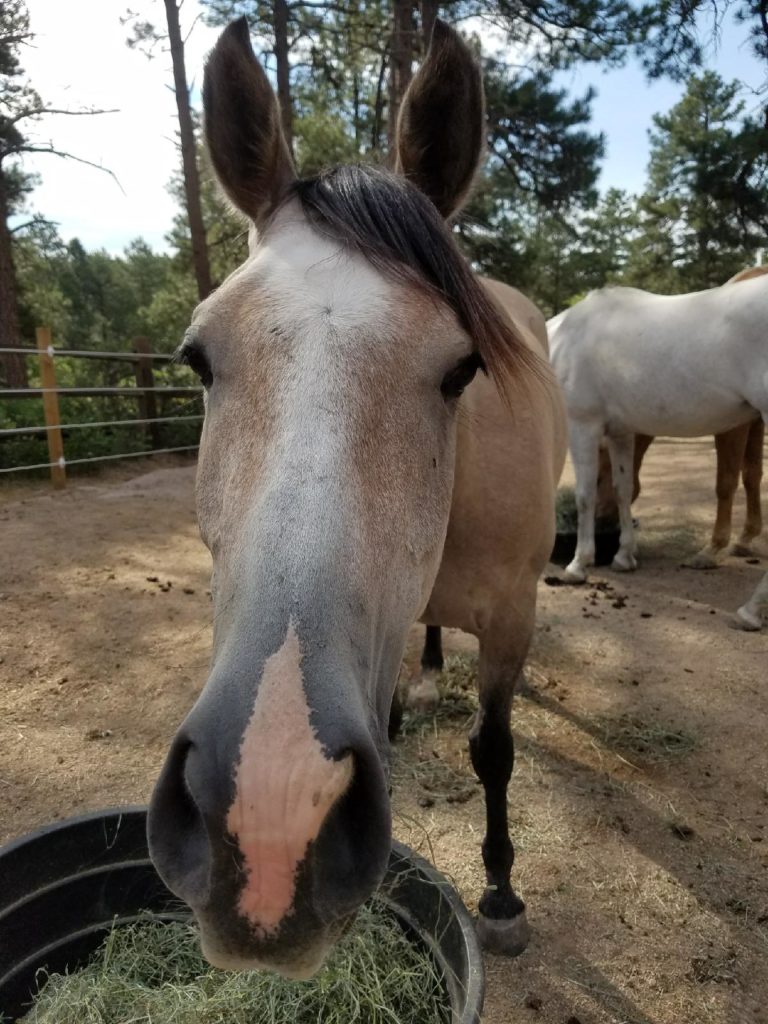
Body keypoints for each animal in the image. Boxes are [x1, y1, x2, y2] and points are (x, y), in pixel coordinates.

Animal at [150, 18, 569, 974]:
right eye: (198, 358)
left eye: (461, 368)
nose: (270, 809)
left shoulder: (513, 616)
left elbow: (494, 749)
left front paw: (501, 892)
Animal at [552, 284, 768, 581]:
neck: (565, 338)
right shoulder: (620, 433)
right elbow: (623, 489)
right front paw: (623, 557)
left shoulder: (582, 426)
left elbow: (585, 495)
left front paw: (578, 564)